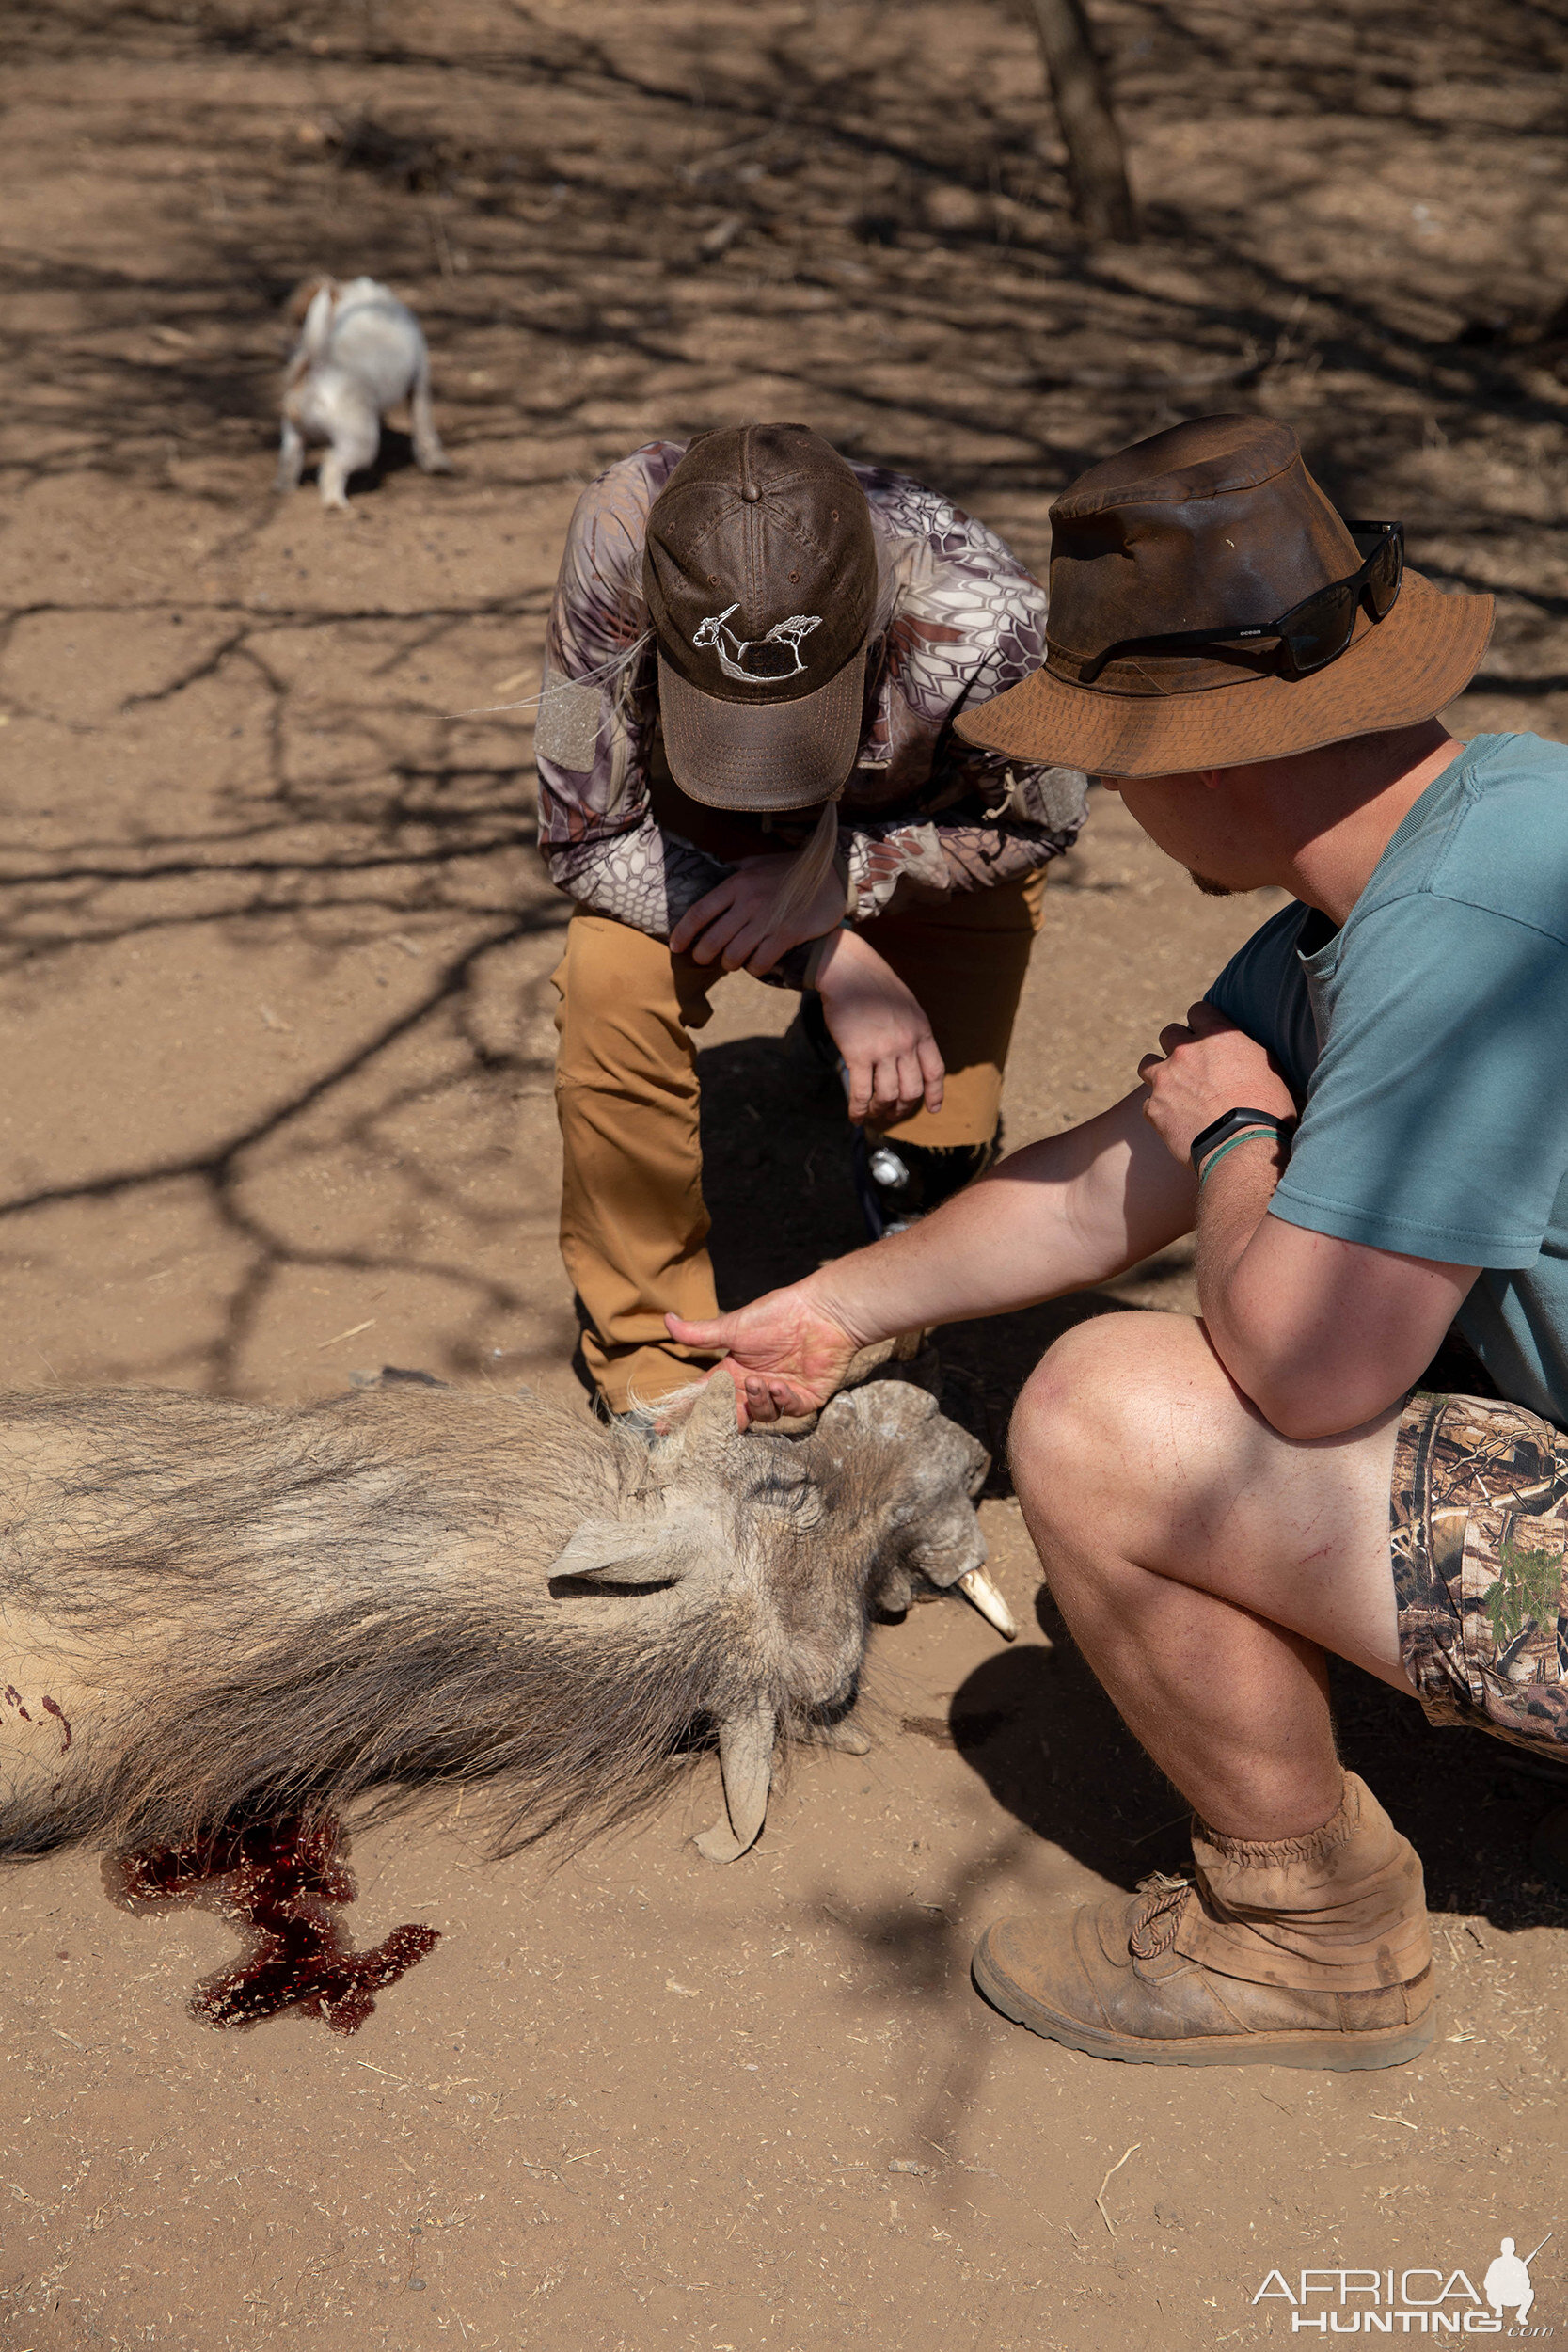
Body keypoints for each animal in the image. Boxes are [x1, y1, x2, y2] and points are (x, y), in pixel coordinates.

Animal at [278, 278, 451, 513]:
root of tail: (316, 376)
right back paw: (335, 503)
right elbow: (425, 428)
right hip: (360, 443)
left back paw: (284, 489)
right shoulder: (420, 382)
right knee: (331, 464)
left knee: (290, 461)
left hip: (293, 435)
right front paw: (436, 462)